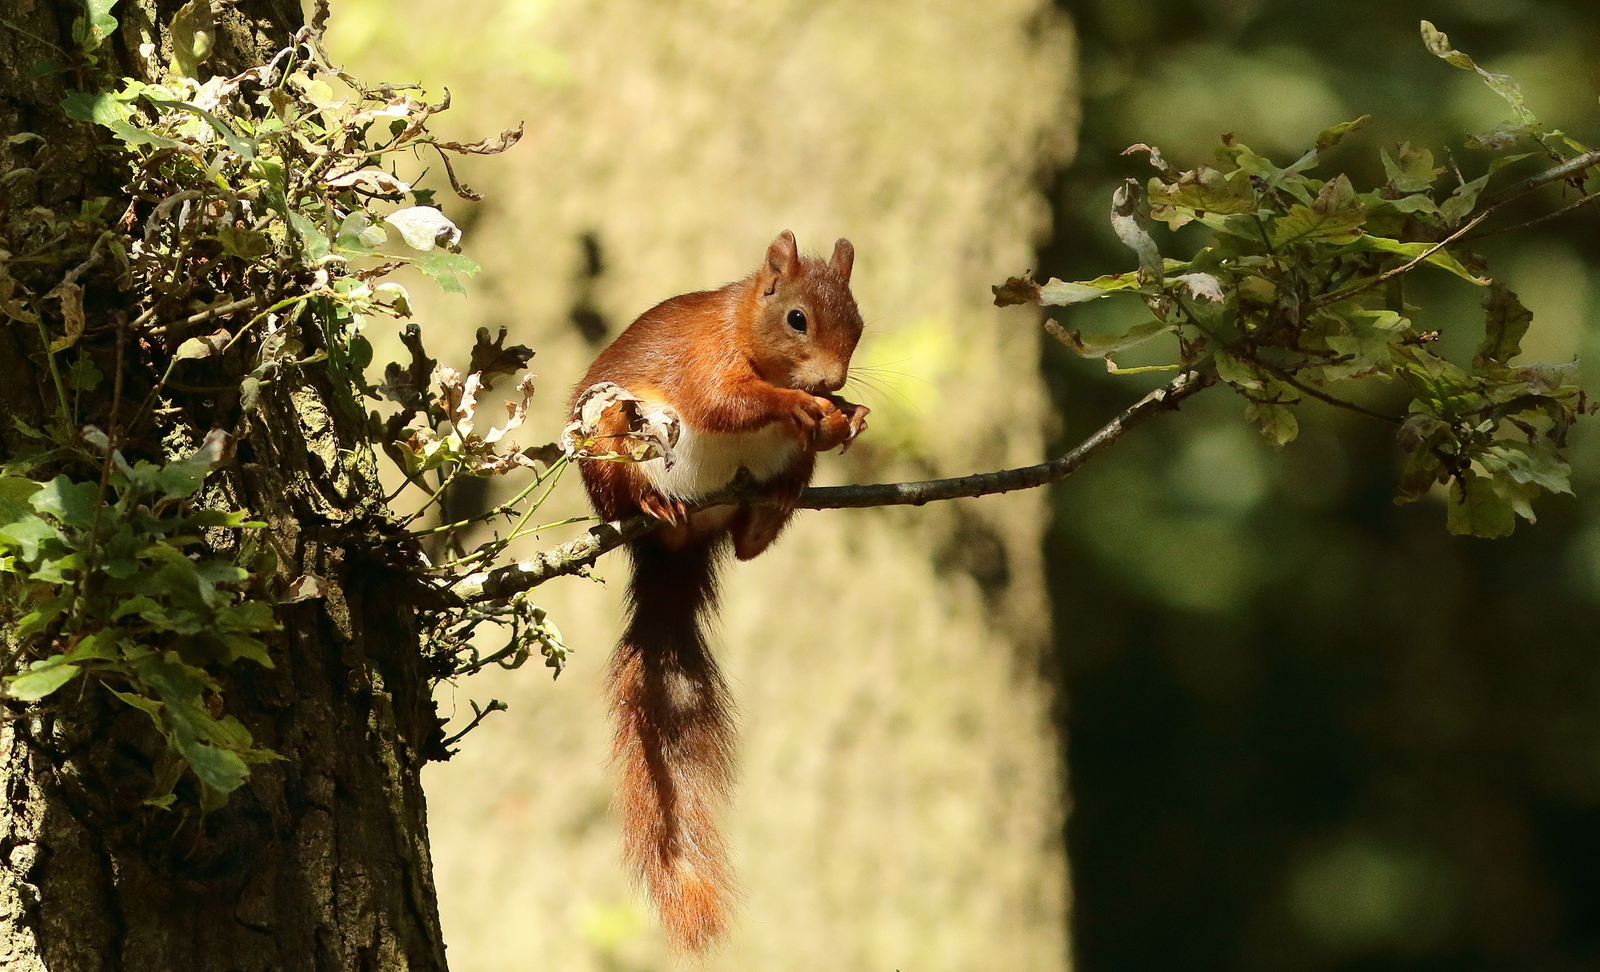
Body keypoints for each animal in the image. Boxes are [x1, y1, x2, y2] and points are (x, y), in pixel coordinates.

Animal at [576, 231, 870, 952]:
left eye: (859, 323)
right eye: (796, 319)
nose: (833, 383)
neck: (740, 325)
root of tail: (678, 548)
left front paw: (849, 417)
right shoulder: (703, 361)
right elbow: (723, 401)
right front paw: (797, 405)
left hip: (776, 474)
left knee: (751, 534)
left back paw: (768, 511)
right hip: (613, 437)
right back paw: (653, 503)